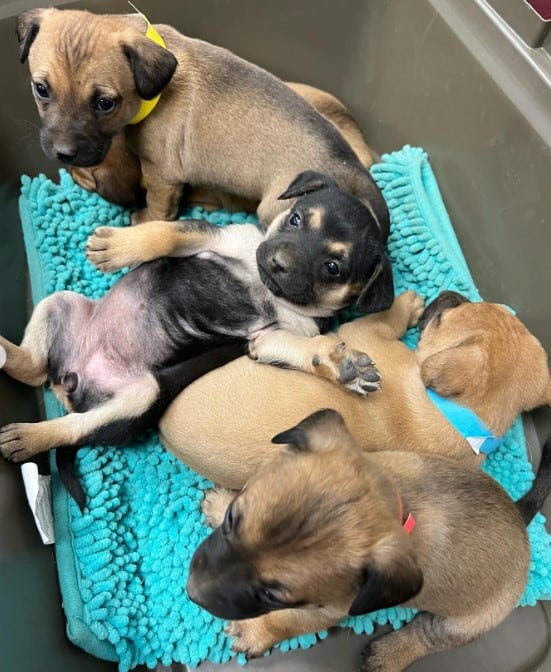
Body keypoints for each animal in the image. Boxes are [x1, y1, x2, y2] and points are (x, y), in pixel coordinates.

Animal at [15, 7, 390, 296]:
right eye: (41, 89)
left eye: (105, 103)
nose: (63, 154)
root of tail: (356, 171)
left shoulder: (161, 174)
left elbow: (157, 208)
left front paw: (141, 223)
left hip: (271, 207)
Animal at [160, 290, 551, 488]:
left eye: (441, 319)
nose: (450, 294)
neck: (467, 418)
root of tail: (164, 430)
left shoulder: (366, 333)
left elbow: (383, 319)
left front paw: (404, 306)